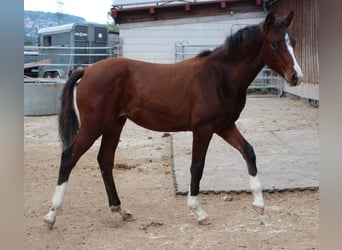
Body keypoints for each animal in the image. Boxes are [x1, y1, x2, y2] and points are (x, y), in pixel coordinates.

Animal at [44, 10, 304, 229]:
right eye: (275, 43)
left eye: (292, 42)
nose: (296, 77)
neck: (219, 75)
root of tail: (87, 70)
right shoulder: (203, 129)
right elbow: (197, 167)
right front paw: (198, 212)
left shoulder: (224, 126)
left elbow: (248, 152)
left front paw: (259, 205)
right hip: (93, 125)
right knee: (69, 157)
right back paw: (51, 215)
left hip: (114, 124)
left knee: (105, 160)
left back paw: (120, 210)